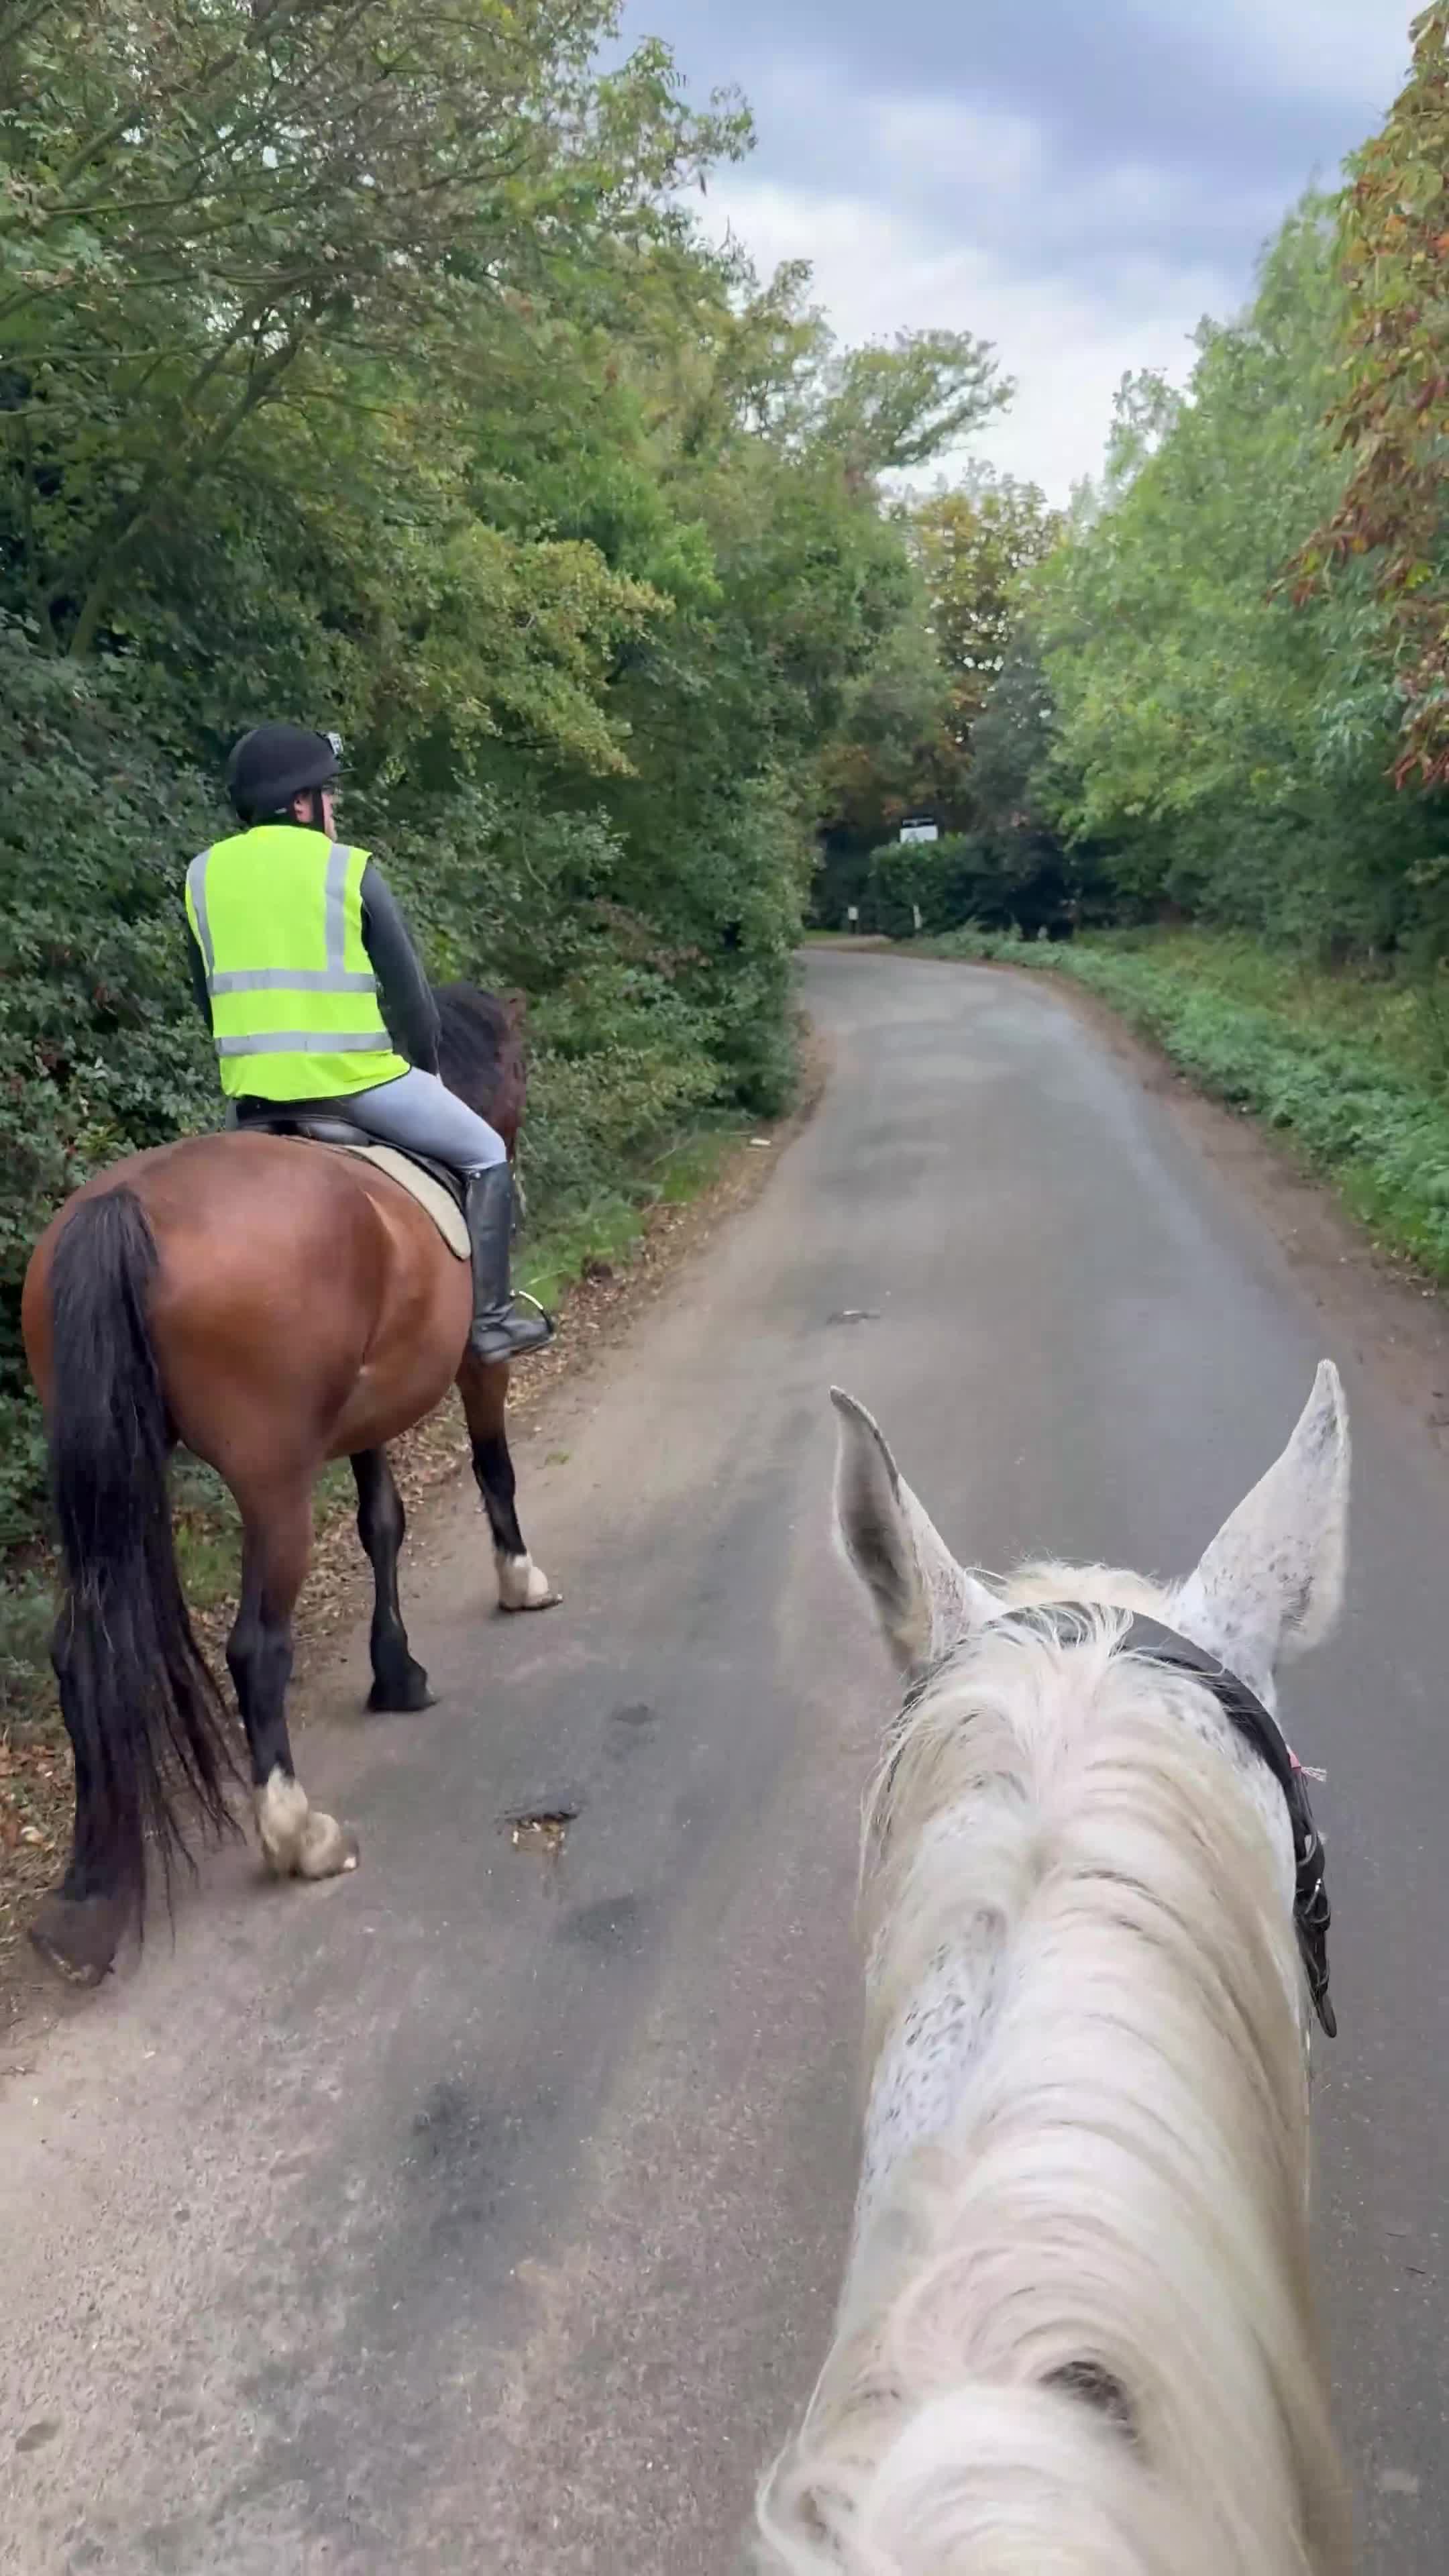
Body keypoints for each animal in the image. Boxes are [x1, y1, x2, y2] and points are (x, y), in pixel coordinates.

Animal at [20, 982, 559, 1990]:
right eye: (516, 1062)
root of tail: (123, 1205)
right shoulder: (474, 1367)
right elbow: (492, 1466)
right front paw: (520, 1580)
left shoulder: (366, 1413)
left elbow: (384, 1524)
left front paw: (398, 1673)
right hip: (273, 1485)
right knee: (255, 1648)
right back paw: (299, 1834)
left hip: (105, 1479)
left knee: (79, 1654)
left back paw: (83, 1896)